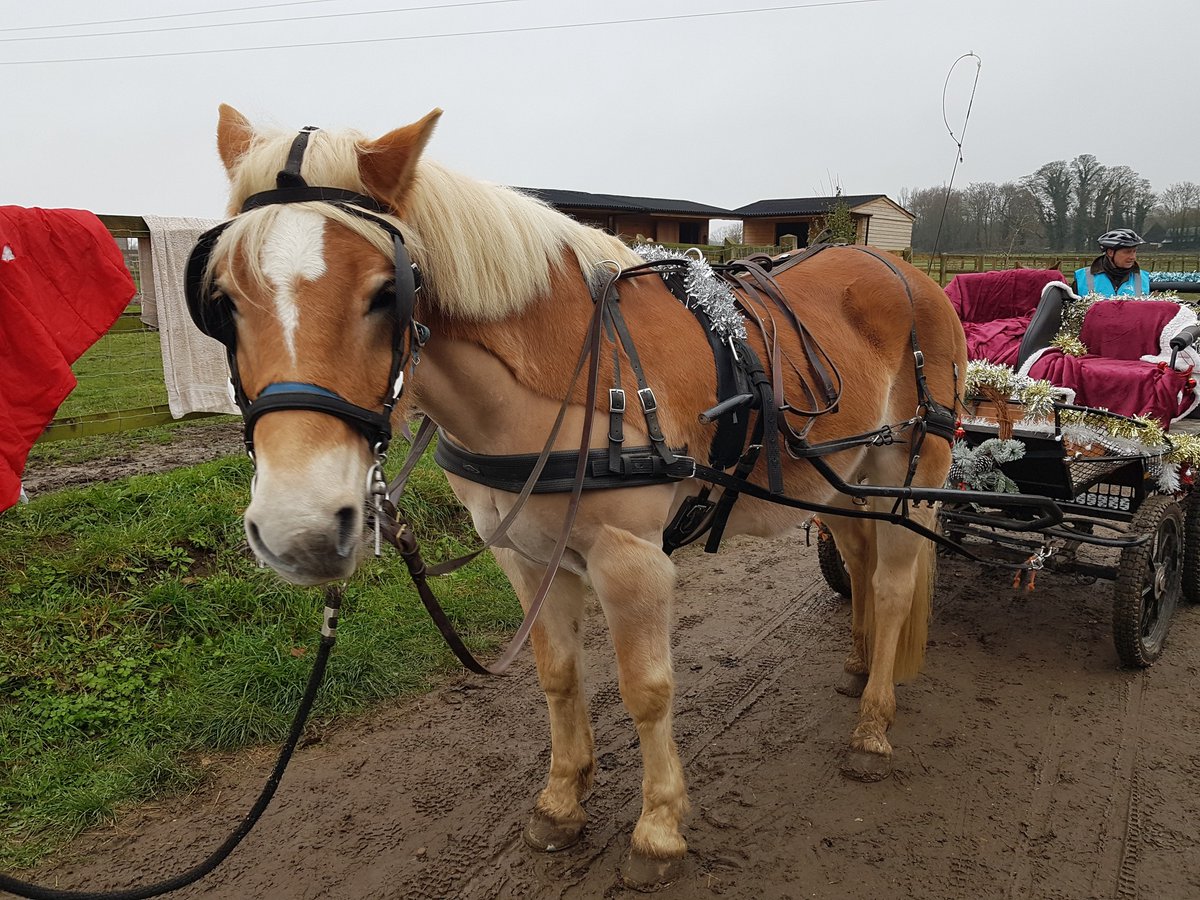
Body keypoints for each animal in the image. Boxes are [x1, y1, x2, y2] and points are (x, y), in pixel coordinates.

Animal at [194, 103, 964, 888]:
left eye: (387, 293)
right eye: (221, 300)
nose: (299, 528)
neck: (564, 373)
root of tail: (907, 272)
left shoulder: (632, 560)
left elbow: (647, 689)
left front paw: (658, 828)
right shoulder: (526, 556)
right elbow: (559, 675)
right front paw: (563, 800)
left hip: (914, 464)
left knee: (894, 583)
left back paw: (873, 724)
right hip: (845, 474)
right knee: (860, 556)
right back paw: (861, 665)